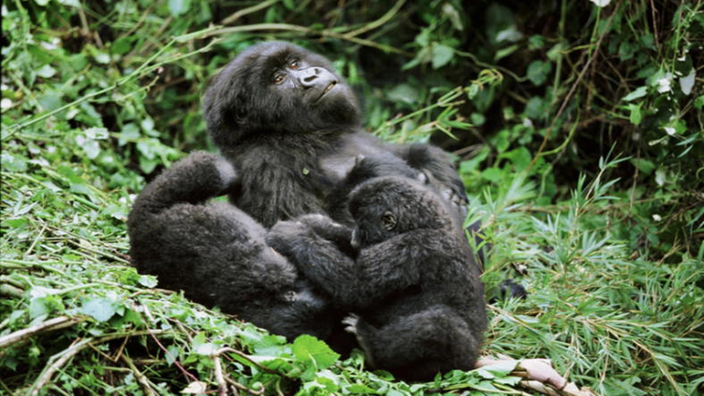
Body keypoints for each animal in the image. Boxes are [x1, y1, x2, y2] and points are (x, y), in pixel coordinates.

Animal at [266, 176, 486, 380]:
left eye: (361, 225)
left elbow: (356, 287)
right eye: (354, 224)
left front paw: (292, 235)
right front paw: (317, 224)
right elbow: (353, 254)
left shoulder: (414, 246)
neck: (424, 224)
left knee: (439, 323)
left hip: (454, 363)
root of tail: (472, 360)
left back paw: (371, 345)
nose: (355, 237)